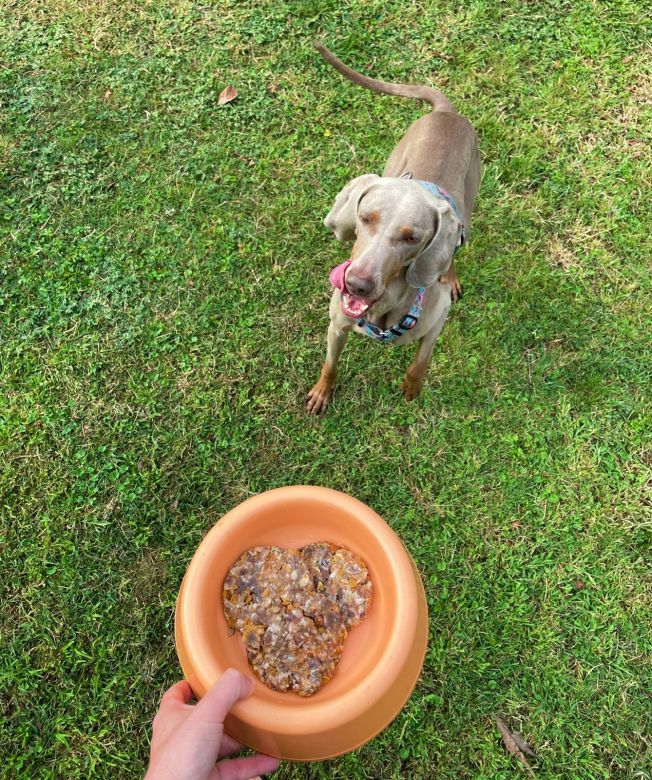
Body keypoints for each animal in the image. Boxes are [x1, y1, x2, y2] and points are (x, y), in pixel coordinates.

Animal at [308, 44, 482, 414]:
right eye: (365, 218)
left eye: (411, 238)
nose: (357, 285)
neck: (381, 309)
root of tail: (446, 112)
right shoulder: (336, 325)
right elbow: (330, 365)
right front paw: (321, 392)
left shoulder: (437, 321)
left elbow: (421, 361)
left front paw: (412, 387)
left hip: (468, 206)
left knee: (454, 249)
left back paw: (450, 275)